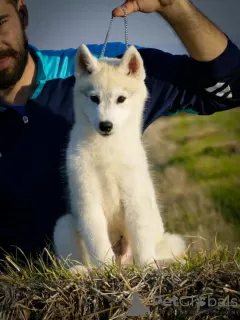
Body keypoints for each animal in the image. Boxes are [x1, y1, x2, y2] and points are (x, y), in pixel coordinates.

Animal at [54, 43, 186, 272]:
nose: (106, 125)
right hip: (64, 224)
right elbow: (98, 243)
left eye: (121, 99)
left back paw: (164, 263)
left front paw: (147, 267)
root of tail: (123, 263)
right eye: (94, 98)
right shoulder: (88, 200)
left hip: (168, 239)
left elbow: (141, 240)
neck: (107, 149)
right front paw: (105, 270)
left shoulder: (135, 197)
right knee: (76, 256)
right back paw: (81, 271)